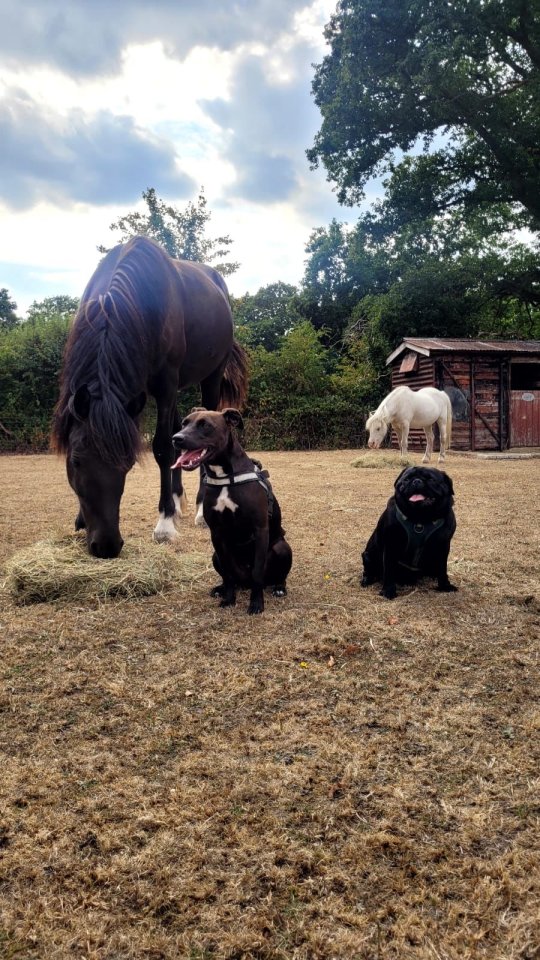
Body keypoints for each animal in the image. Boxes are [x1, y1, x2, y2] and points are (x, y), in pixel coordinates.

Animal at [52, 236, 248, 558]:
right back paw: (179, 499)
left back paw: (197, 508)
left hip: (211, 377)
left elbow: (162, 448)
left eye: (128, 463)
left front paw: (165, 523)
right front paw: (80, 519)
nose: (106, 545)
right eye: (76, 461)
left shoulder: (165, 384)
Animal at [172, 408, 292, 614]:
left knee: (274, 576)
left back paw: (278, 588)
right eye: (184, 423)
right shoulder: (216, 533)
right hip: (215, 556)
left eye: (205, 425)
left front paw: (256, 604)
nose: (176, 438)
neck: (225, 477)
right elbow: (228, 573)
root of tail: (245, 583)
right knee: (232, 577)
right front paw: (229, 599)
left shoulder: (260, 529)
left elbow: (258, 572)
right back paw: (221, 589)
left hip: (283, 548)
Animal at [361, 466, 457, 600]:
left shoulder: (443, 546)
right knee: (369, 570)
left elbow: (443, 569)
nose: (416, 481)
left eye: (431, 479)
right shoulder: (391, 547)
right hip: (367, 556)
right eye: (406, 479)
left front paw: (445, 586)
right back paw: (367, 579)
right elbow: (389, 572)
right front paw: (388, 591)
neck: (420, 519)